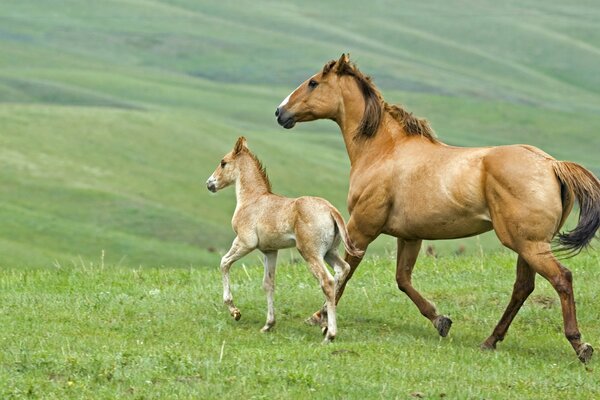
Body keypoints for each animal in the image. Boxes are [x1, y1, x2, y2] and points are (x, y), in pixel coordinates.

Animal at [206, 136, 360, 342]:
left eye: (223, 162)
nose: (210, 184)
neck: (252, 199)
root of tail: (331, 210)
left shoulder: (245, 242)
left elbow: (224, 263)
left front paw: (235, 311)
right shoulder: (270, 251)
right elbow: (268, 284)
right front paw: (268, 325)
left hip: (310, 253)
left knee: (327, 281)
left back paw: (330, 334)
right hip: (330, 252)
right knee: (343, 270)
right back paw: (324, 323)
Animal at [276, 53, 600, 362]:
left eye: (314, 82)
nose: (280, 112)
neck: (383, 151)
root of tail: (551, 164)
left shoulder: (361, 228)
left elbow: (344, 273)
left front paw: (318, 317)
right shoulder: (410, 236)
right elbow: (403, 279)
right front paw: (440, 320)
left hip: (529, 244)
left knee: (561, 278)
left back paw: (579, 344)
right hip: (526, 245)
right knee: (523, 287)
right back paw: (490, 341)